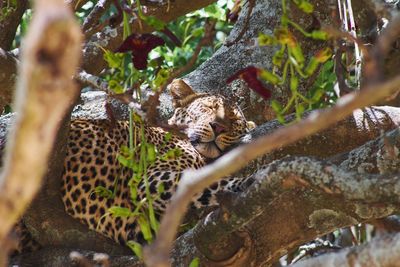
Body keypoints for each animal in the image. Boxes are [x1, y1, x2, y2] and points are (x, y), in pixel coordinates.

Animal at [19, 79, 256, 249]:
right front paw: (246, 181)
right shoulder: (151, 179)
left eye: (235, 121)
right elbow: (212, 182)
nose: (219, 127)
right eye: (208, 107)